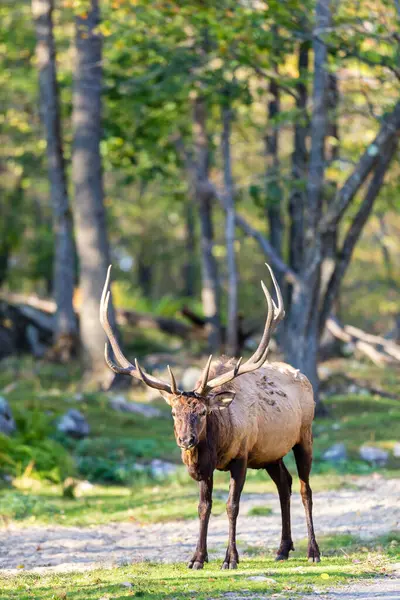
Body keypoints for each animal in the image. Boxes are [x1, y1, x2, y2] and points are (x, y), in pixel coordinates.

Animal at [100, 264, 322, 568]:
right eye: (174, 411)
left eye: (203, 412)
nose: (186, 440)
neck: (217, 444)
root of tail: (304, 377)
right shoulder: (207, 467)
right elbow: (204, 507)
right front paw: (197, 558)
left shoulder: (241, 457)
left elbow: (232, 506)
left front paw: (230, 559)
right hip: (270, 453)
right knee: (284, 484)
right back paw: (282, 549)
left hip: (304, 437)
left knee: (305, 489)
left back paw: (313, 551)